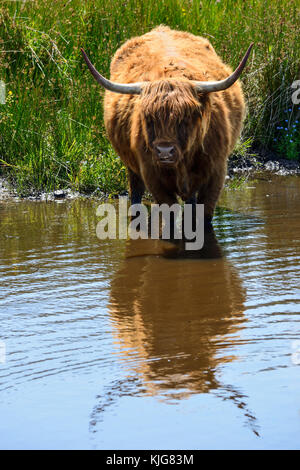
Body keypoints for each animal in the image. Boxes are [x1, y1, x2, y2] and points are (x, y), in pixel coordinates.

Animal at [81, 25, 252, 224]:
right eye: (148, 118)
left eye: (186, 118)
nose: (164, 151)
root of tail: (162, 29)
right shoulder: (152, 177)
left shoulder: (216, 173)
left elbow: (203, 217)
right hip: (132, 168)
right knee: (136, 191)